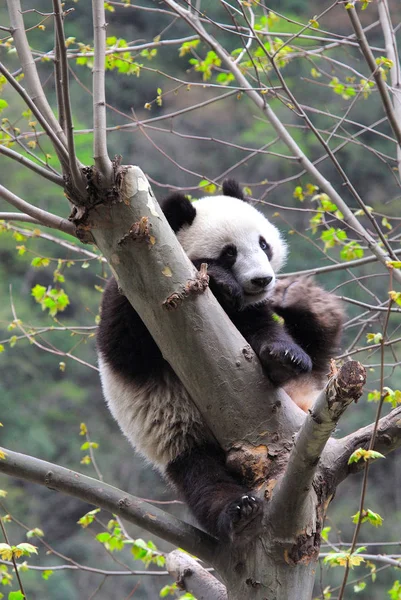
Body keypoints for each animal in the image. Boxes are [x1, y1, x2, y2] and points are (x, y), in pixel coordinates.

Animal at [96, 180, 340, 540]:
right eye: (229, 252)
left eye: (263, 244)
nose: (262, 280)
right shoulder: (137, 296)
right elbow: (129, 343)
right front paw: (222, 281)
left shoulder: (250, 313)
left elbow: (262, 329)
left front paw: (284, 358)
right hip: (178, 437)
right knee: (203, 477)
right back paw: (237, 509)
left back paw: (314, 308)